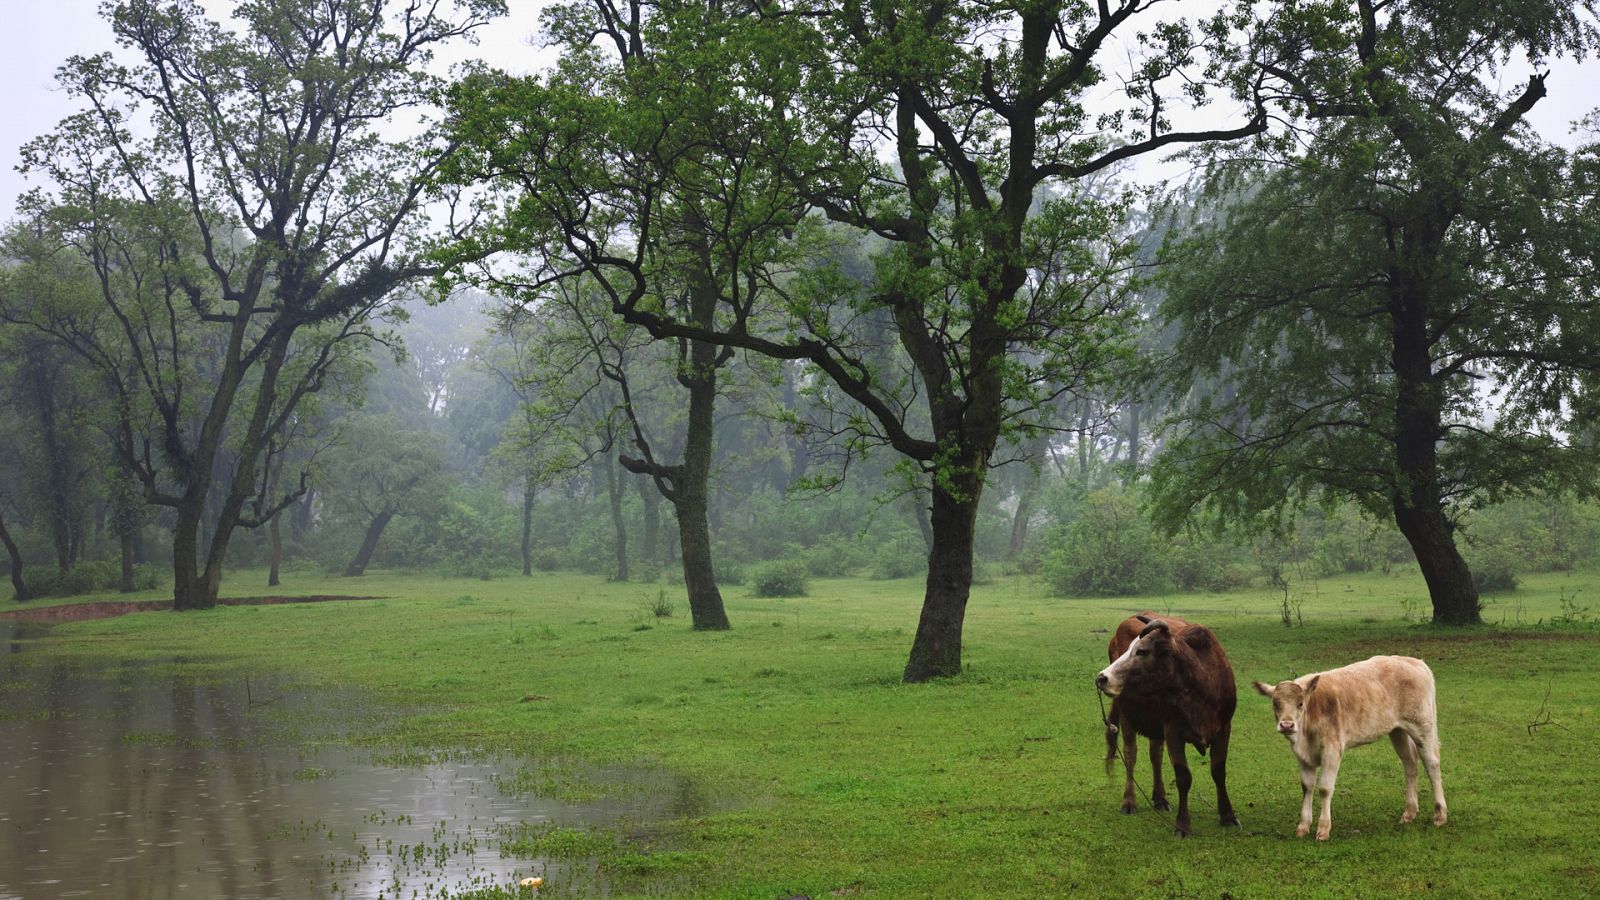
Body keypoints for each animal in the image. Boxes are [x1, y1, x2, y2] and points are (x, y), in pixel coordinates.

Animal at [1094, 608, 1241, 832]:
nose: (1102, 678)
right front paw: (1183, 825)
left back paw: (1160, 798)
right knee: (1130, 754)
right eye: (1129, 649)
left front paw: (1227, 816)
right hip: (1126, 713)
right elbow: (1183, 777)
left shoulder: (1223, 729)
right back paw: (1129, 801)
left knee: (1156, 754)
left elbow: (1218, 771)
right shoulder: (1173, 730)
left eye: (1142, 651)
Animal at [1248, 650, 1452, 832]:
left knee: (1432, 764)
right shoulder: (1302, 756)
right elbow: (1307, 787)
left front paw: (1323, 829)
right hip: (1398, 730)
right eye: (1275, 704)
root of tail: (1415, 662)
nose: (1287, 725)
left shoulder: (1332, 749)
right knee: (1410, 763)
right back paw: (1409, 813)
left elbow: (1324, 788)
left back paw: (1440, 815)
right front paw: (1303, 826)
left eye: (1300, 703)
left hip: (1423, 726)